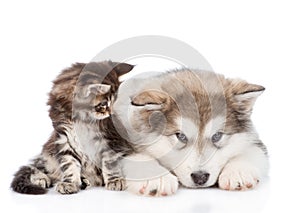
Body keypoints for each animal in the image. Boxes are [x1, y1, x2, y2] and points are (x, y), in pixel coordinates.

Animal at [11, 60, 134, 195]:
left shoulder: (110, 138)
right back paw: (42, 178)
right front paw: (69, 183)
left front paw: (115, 180)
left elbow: (110, 161)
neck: (82, 119)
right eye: (103, 104)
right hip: (50, 150)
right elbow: (69, 163)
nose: (111, 113)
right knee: (39, 168)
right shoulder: (64, 137)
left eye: (114, 101)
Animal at [113, 69, 268, 196]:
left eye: (217, 136)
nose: (200, 177)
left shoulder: (254, 139)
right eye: (180, 136)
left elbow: (251, 150)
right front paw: (156, 177)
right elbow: (134, 155)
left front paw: (238, 171)